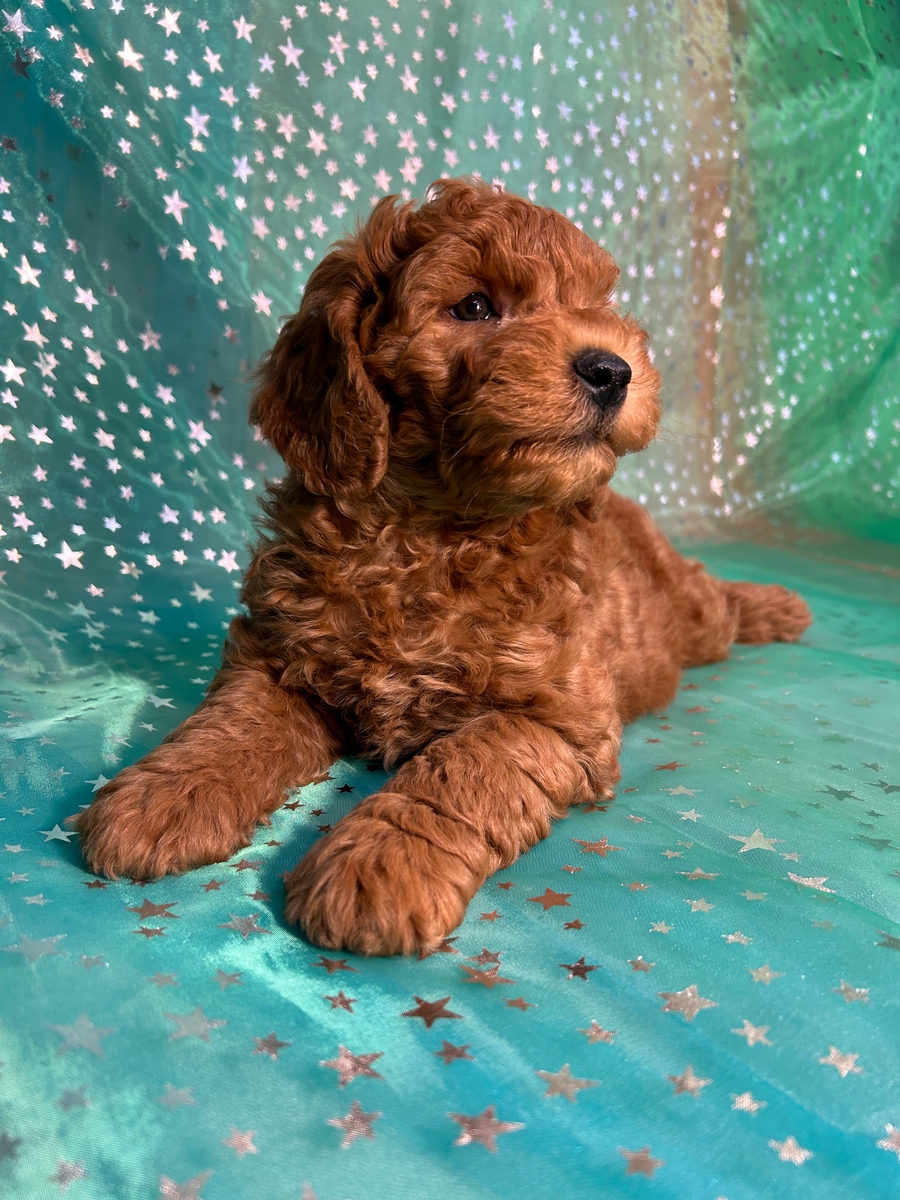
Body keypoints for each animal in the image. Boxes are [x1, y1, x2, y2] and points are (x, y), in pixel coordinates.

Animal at [74, 177, 816, 955]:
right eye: (476, 307)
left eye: (600, 307)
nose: (614, 368)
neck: (434, 532)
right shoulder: (279, 655)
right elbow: (233, 723)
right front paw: (165, 795)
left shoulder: (558, 718)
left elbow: (464, 767)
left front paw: (381, 862)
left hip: (688, 613)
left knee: (715, 599)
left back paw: (778, 604)